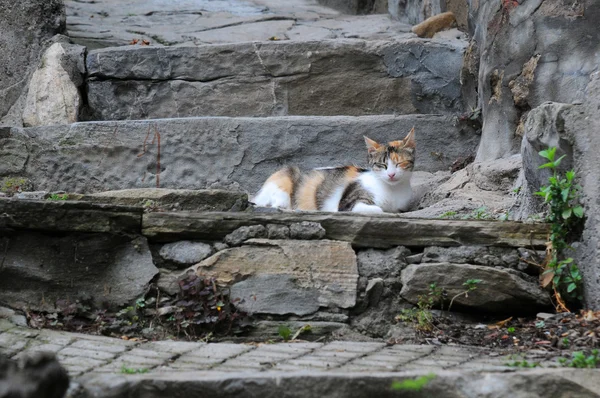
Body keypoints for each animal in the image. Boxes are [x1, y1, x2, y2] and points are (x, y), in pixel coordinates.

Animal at [251, 127, 414, 215]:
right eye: (381, 165)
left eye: (400, 163)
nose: (391, 174)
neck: (393, 191)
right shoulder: (348, 203)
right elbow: (377, 209)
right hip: (286, 177)